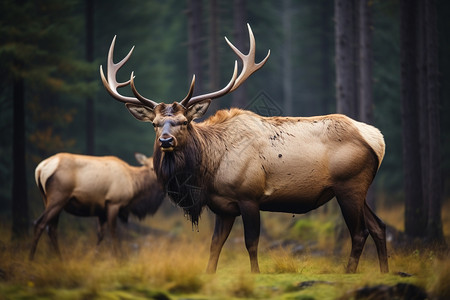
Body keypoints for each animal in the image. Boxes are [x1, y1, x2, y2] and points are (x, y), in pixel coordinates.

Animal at [29, 152, 164, 260]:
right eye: (152, 168)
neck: (134, 187)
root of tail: (40, 169)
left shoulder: (102, 212)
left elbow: (100, 235)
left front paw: (94, 257)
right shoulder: (114, 203)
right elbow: (114, 232)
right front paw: (119, 258)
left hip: (48, 200)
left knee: (52, 229)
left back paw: (59, 258)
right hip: (58, 198)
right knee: (39, 223)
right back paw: (31, 258)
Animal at [100, 24, 388, 274]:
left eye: (184, 121)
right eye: (155, 124)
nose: (166, 141)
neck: (208, 172)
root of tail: (377, 139)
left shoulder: (249, 196)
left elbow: (251, 243)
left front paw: (255, 273)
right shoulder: (223, 206)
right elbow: (215, 245)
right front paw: (209, 274)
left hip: (349, 185)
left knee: (360, 231)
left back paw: (350, 272)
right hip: (357, 189)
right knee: (379, 226)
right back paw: (384, 271)